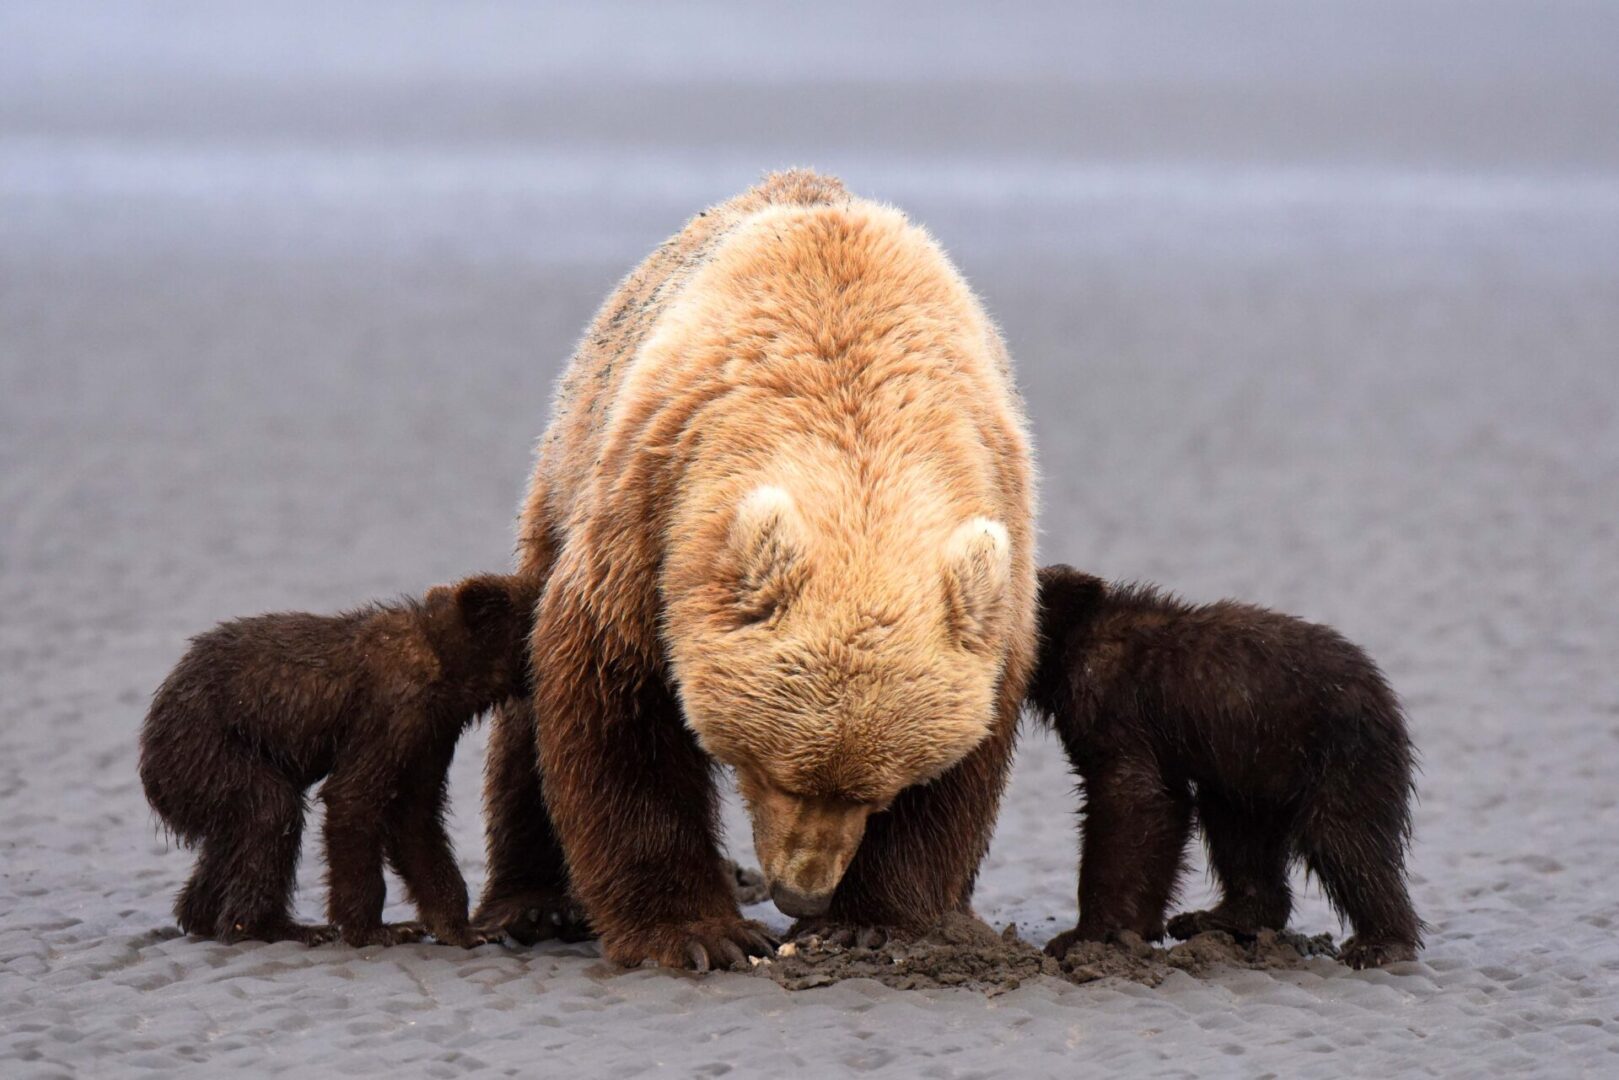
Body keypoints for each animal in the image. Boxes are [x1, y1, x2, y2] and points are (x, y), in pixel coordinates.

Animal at [139, 573, 537, 945]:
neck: (448, 668)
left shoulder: (431, 735)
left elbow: (416, 820)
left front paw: (465, 929)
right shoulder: (391, 713)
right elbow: (353, 798)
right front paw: (377, 928)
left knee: (229, 838)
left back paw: (200, 914)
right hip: (204, 746)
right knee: (269, 813)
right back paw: (276, 926)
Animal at [472, 170, 1042, 971]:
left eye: (878, 791)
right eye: (775, 770)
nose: (802, 892)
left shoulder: (1002, 556)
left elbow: (964, 766)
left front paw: (873, 921)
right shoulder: (653, 518)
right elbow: (618, 710)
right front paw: (698, 933)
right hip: (565, 471)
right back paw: (533, 904)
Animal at [1029, 566, 1424, 971]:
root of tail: (1386, 695)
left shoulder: (1113, 707)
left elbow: (1131, 800)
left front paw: (1081, 935)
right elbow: (1164, 806)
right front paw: (1137, 926)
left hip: (1335, 751)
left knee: (1344, 839)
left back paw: (1379, 943)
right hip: (1252, 766)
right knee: (1237, 830)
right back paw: (1219, 917)